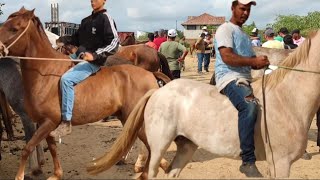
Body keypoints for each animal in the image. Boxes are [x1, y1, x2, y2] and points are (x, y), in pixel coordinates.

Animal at [0, 7, 170, 179]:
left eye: (14, 28)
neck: (46, 73)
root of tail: (150, 74)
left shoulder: (48, 122)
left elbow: (27, 148)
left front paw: (21, 175)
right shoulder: (45, 123)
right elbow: (52, 148)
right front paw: (57, 174)